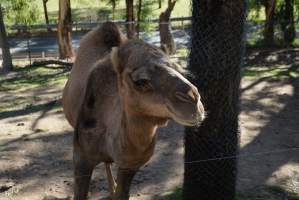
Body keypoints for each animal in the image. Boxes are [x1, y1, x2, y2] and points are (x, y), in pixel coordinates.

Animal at [62, 21, 205, 200]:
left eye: (181, 70)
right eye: (141, 81)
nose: (194, 100)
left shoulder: (129, 166)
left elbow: (122, 193)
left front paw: (115, 190)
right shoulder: (81, 157)